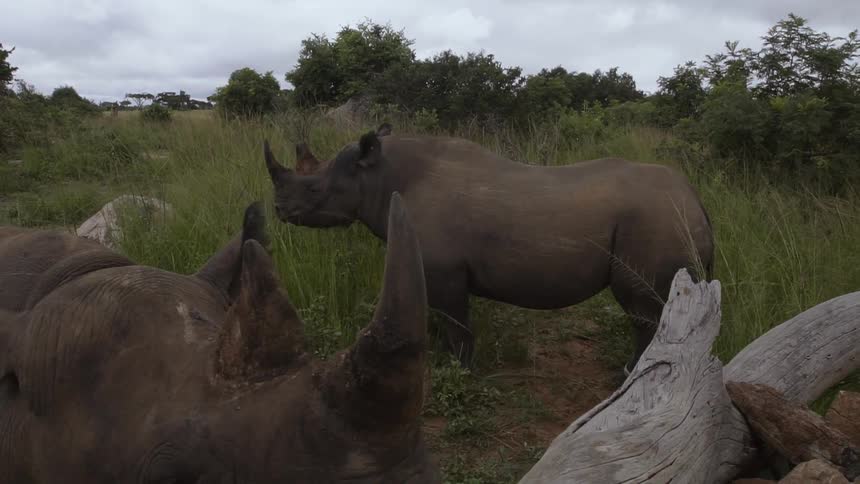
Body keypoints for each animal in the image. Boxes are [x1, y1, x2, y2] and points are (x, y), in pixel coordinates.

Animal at [263, 129, 715, 372]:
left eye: (314, 190)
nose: (279, 209)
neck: (380, 176)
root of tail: (696, 200)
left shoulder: (445, 270)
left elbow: (456, 323)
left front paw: (459, 368)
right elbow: (440, 317)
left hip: (655, 219)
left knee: (645, 309)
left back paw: (629, 375)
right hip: (667, 217)